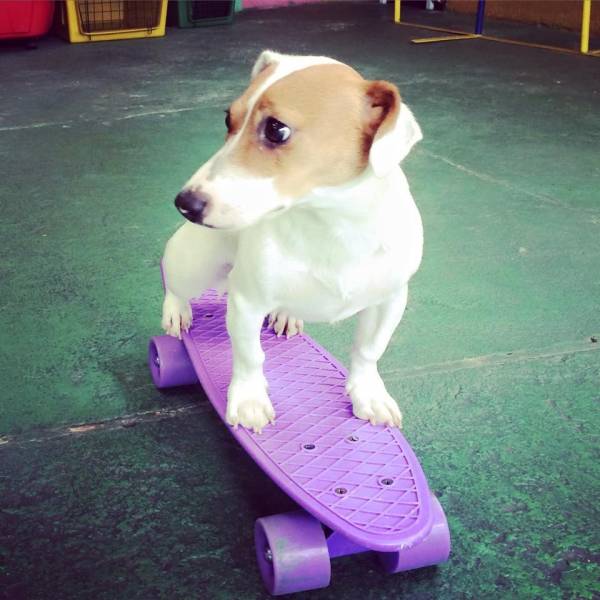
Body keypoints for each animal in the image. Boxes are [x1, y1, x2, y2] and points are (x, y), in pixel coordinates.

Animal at [159, 51, 422, 434]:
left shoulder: (390, 300)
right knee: (173, 282)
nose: (184, 203)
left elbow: (369, 350)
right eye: (228, 118)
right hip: (194, 265)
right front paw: (250, 401)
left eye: (276, 129)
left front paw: (369, 395)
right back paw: (176, 311)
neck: (330, 224)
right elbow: (250, 356)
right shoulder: (246, 302)